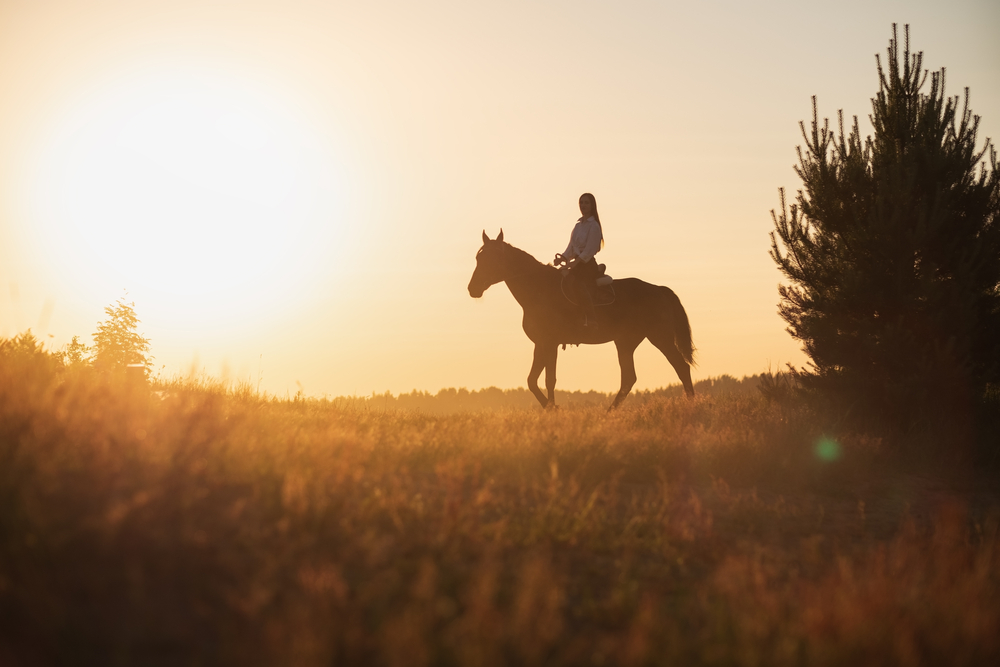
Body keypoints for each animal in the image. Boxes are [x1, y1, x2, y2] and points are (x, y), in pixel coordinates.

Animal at [468, 230, 696, 410]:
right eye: (479, 259)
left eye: (491, 259)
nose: (473, 288)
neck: (540, 290)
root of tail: (660, 290)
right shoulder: (540, 344)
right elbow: (532, 380)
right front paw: (550, 408)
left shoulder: (550, 344)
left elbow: (549, 379)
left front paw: (553, 409)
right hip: (626, 342)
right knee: (629, 378)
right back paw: (609, 413)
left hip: (660, 338)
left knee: (681, 367)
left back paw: (691, 405)